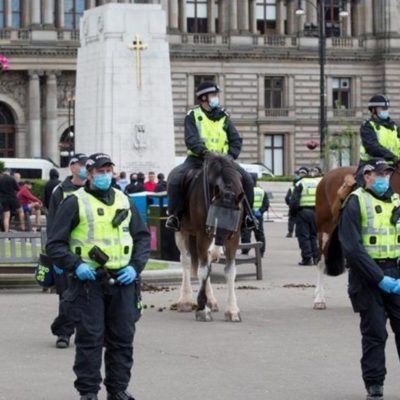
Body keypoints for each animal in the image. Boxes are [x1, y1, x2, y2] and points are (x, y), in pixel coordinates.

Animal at [174, 153, 244, 322]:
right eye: (214, 216)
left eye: (232, 219)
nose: (219, 241)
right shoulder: (202, 235)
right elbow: (203, 270)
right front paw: (202, 308)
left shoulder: (234, 237)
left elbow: (229, 271)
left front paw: (232, 310)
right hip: (182, 232)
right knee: (186, 261)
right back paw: (186, 300)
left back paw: (210, 300)